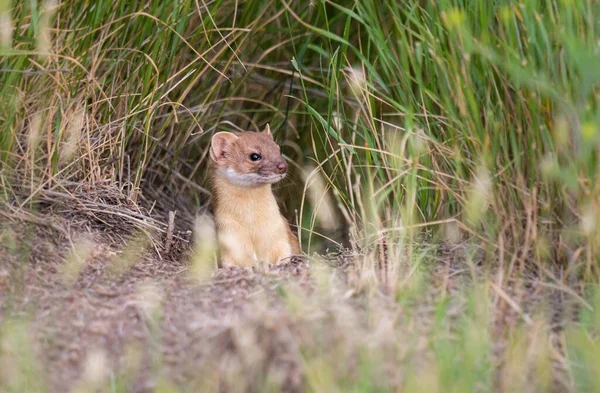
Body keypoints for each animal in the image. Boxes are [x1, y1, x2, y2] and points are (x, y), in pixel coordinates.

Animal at [210, 125, 302, 266]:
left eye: (278, 149)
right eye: (254, 156)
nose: (283, 166)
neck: (251, 222)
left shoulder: (278, 232)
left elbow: (283, 252)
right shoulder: (229, 233)